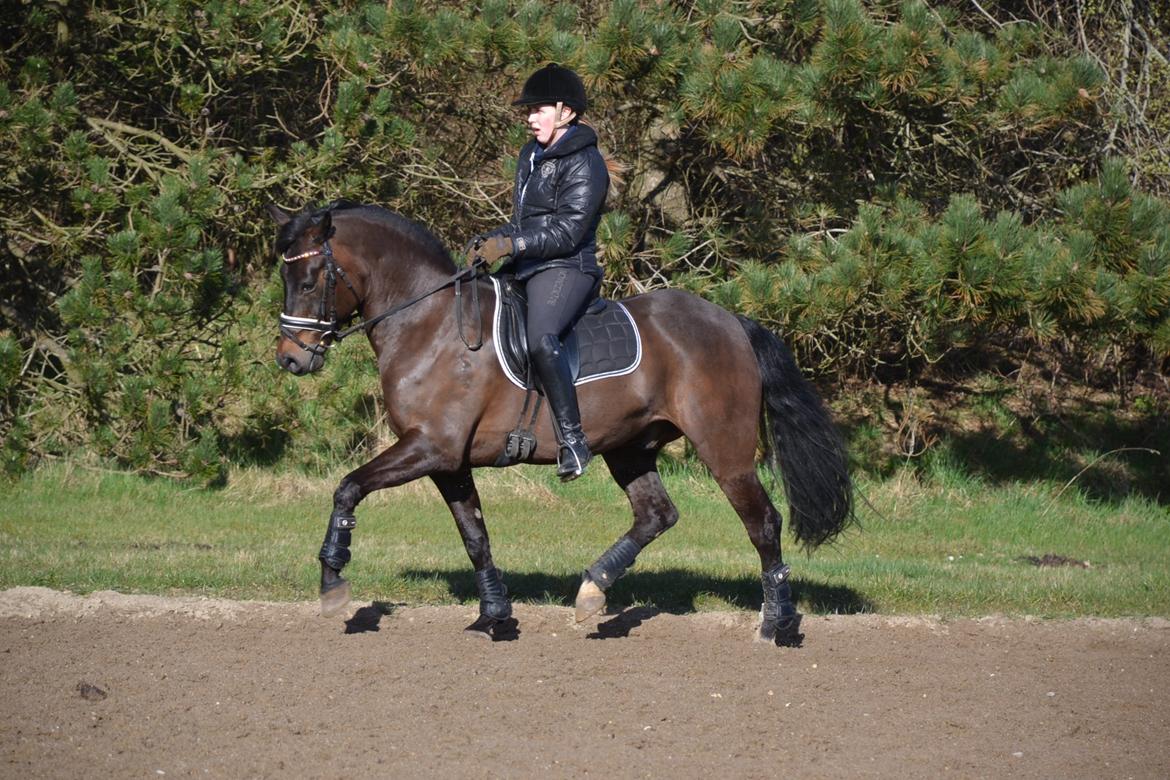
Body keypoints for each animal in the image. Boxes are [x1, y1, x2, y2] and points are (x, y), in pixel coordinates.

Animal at [266, 200, 853, 645]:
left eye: (311, 278)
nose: (291, 360)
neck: (428, 326)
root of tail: (732, 321)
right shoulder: (448, 462)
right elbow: (475, 536)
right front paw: (495, 618)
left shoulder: (430, 447)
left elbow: (348, 489)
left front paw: (332, 583)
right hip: (629, 447)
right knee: (656, 515)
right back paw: (592, 592)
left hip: (723, 451)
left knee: (763, 524)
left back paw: (777, 625)